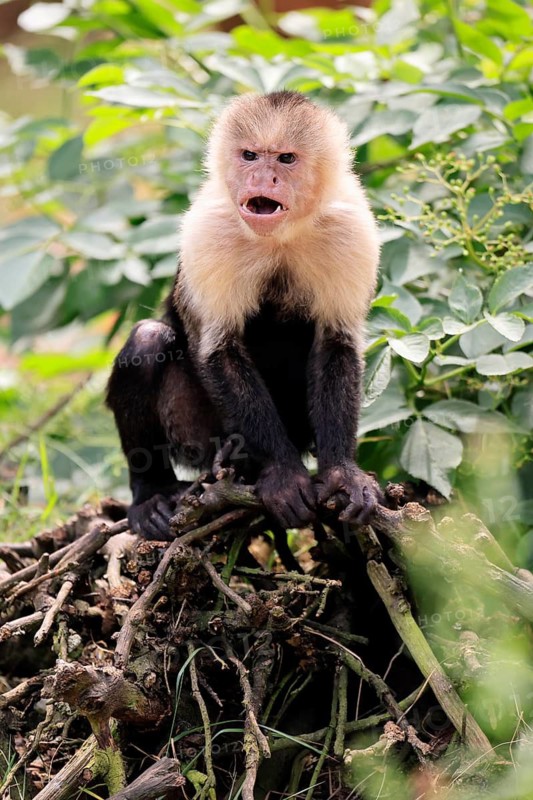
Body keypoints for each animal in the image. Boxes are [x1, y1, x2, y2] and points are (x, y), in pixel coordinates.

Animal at [106, 91, 381, 540]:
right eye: (250, 155)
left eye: (285, 159)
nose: (263, 179)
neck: (280, 236)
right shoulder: (208, 228)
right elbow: (219, 349)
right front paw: (283, 474)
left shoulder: (351, 227)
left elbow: (336, 343)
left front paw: (342, 473)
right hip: (199, 434)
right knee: (148, 341)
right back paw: (156, 488)